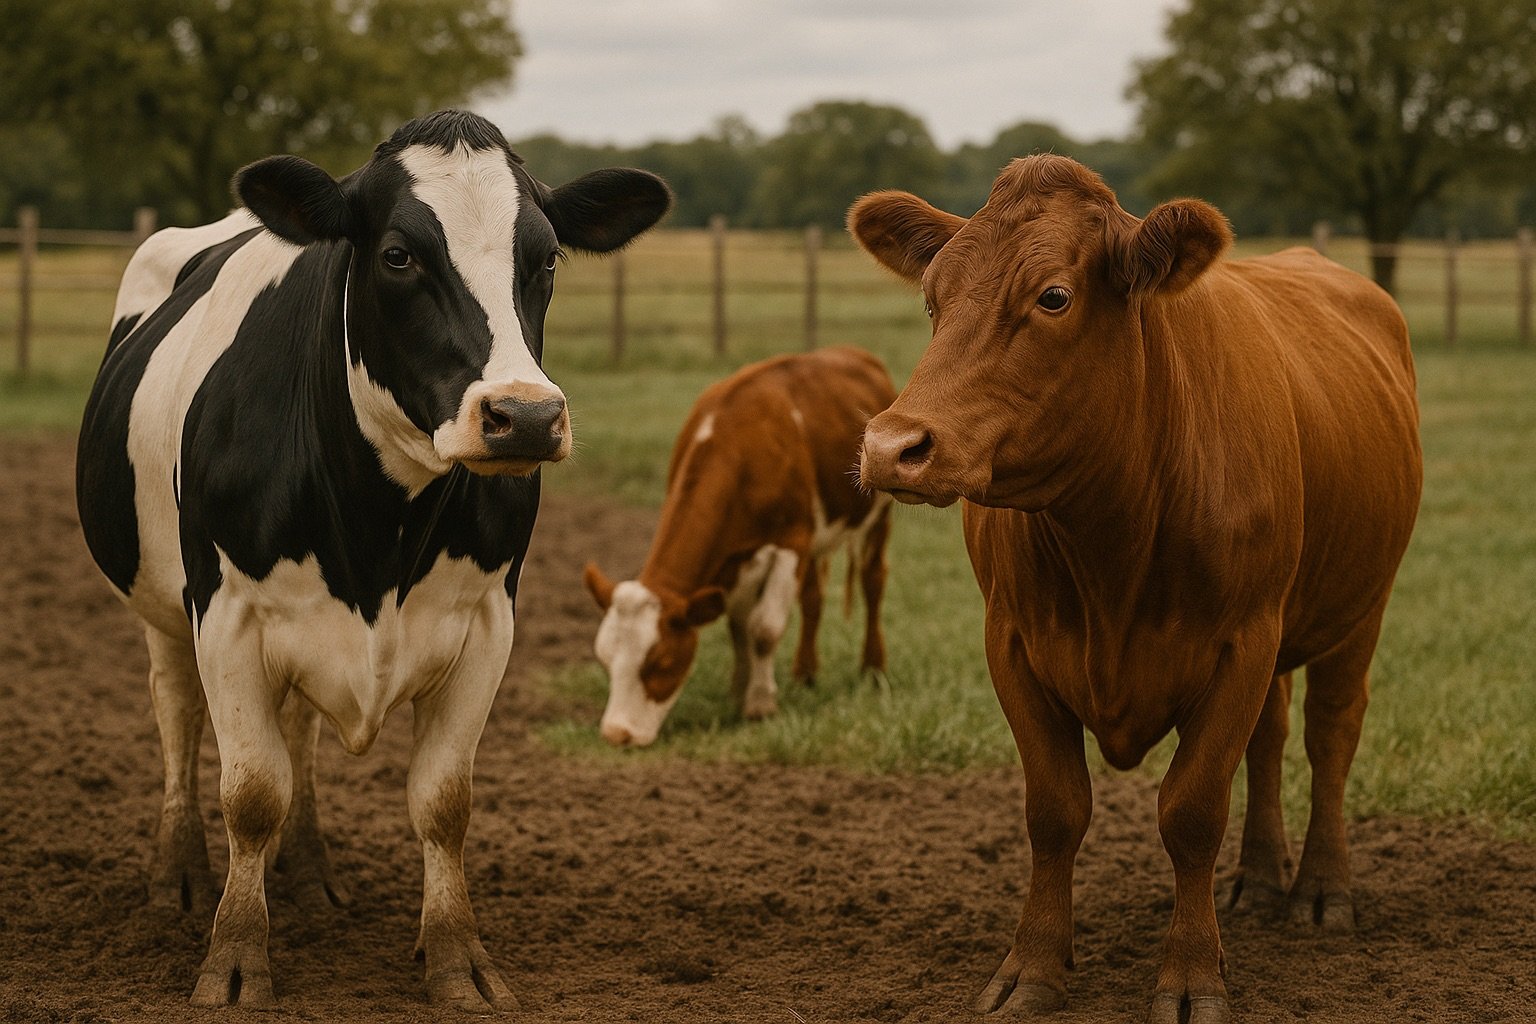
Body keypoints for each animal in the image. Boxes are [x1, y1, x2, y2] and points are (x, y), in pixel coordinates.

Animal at [75, 110, 670, 1011]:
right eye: (397, 255)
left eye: (545, 258)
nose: (526, 417)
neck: (378, 532)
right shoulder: (227, 615)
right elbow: (251, 792)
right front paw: (235, 961)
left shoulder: (488, 621)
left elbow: (441, 800)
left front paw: (459, 960)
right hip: (161, 608)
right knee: (177, 717)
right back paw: (177, 877)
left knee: (300, 734)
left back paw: (310, 873)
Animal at [581, 347, 896, 747]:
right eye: (605, 660)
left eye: (662, 663)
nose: (617, 734)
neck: (741, 447)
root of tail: (854, 353)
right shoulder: (733, 558)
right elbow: (739, 628)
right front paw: (738, 690)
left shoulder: (790, 542)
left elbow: (763, 629)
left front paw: (760, 704)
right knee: (813, 598)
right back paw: (805, 674)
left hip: (879, 517)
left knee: (873, 582)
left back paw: (873, 668)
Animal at [850, 155, 1421, 1023]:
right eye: (932, 297)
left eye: (1054, 296)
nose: (891, 446)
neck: (1110, 549)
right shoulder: (1012, 642)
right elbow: (1054, 810)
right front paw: (1033, 966)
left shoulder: (1241, 642)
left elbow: (1191, 811)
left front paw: (1190, 975)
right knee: (1271, 739)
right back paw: (1257, 881)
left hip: (1360, 609)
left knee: (1330, 735)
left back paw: (1321, 890)